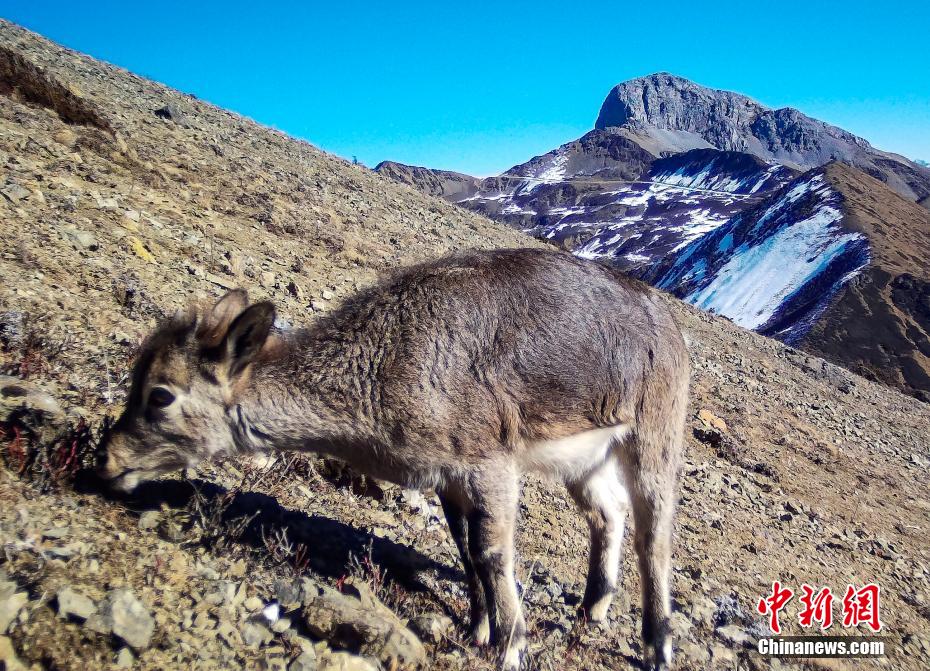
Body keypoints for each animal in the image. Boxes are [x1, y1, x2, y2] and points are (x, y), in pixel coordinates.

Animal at [101, 249, 684, 668]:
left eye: (160, 395)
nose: (109, 460)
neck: (386, 367)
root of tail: (673, 328)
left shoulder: (490, 462)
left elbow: (494, 554)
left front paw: (511, 645)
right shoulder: (446, 479)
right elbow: (466, 551)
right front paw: (477, 628)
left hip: (653, 439)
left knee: (653, 535)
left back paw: (657, 645)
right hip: (586, 459)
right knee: (607, 512)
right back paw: (591, 610)